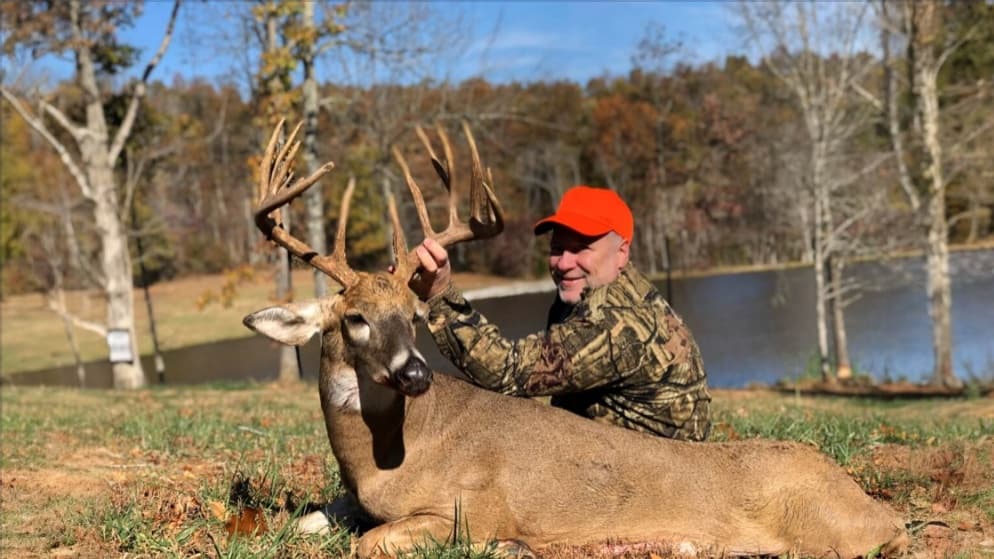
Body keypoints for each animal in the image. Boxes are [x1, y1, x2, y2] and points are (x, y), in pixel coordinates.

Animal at [243, 120, 910, 558]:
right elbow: (308, 521)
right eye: (355, 318)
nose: (414, 374)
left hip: (825, 530)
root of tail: (873, 506)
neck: (378, 459)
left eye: (413, 316)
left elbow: (368, 542)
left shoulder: (466, 511)